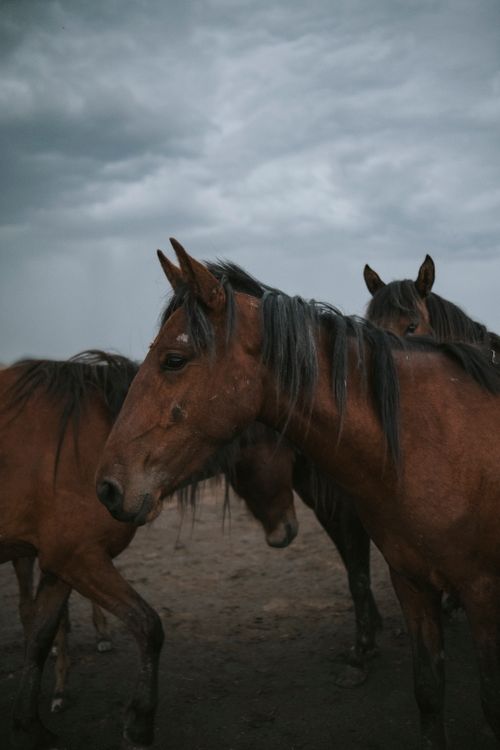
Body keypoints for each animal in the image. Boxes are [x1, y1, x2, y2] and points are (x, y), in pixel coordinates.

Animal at [97, 239, 500, 749]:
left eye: (174, 359)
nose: (107, 486)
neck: (431, 439)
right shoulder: (409, 579)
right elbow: (426, 690)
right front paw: (364, 649)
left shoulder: (483, 592)